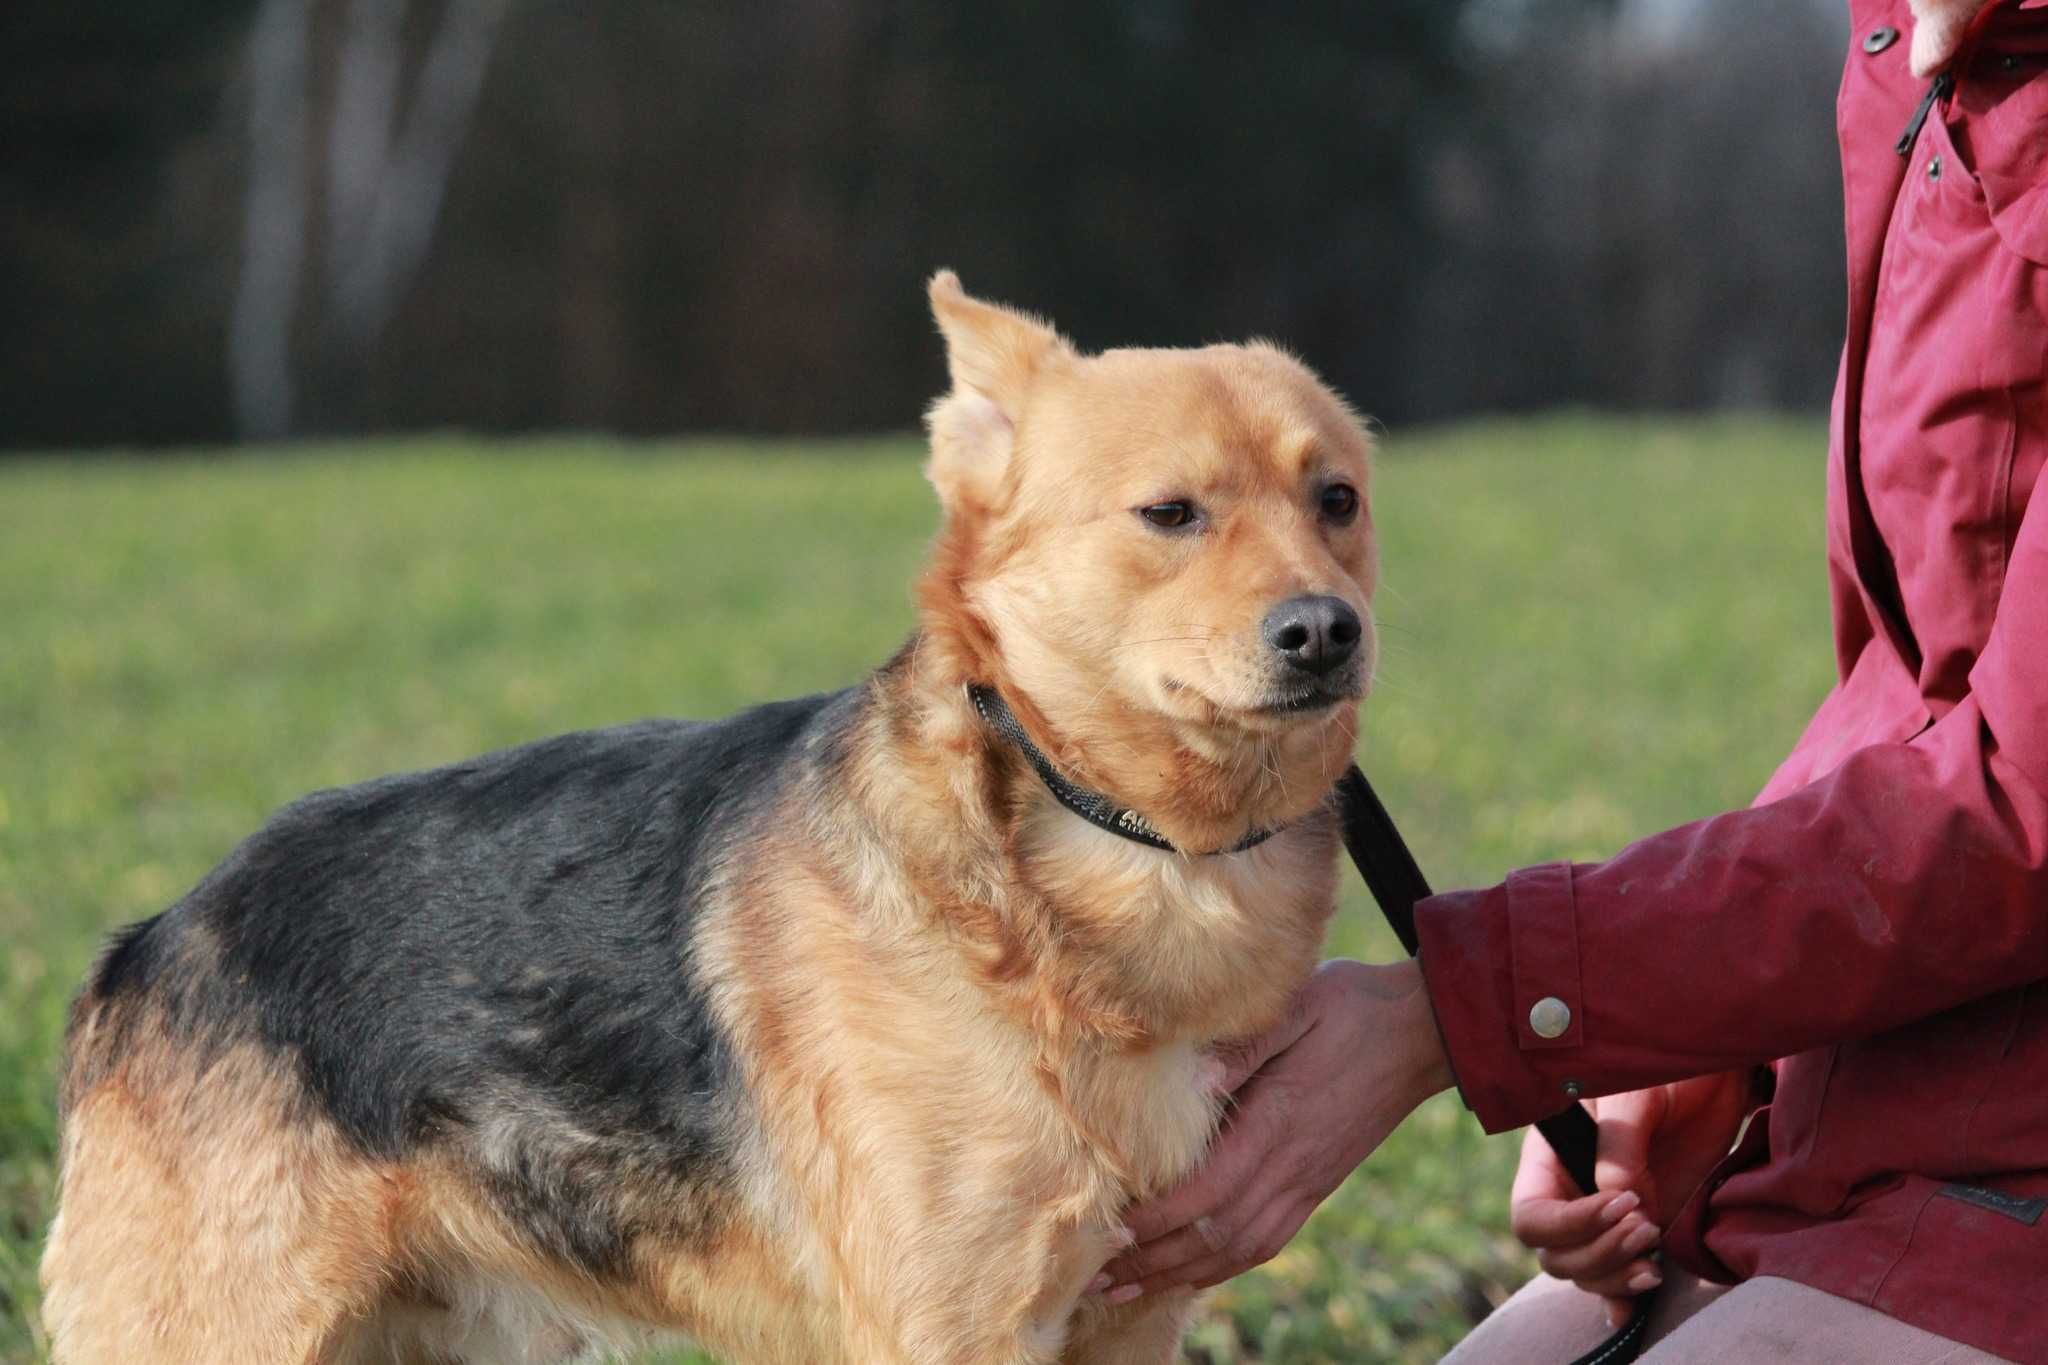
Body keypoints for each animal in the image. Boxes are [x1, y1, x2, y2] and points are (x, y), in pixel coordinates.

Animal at [39, 272, 1384, 1358]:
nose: (1324, 632)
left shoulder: (1129, 1318)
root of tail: (148, 943)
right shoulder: (953, 1329)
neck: (1123, 848)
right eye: (1170, 514)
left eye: (1338, 500)